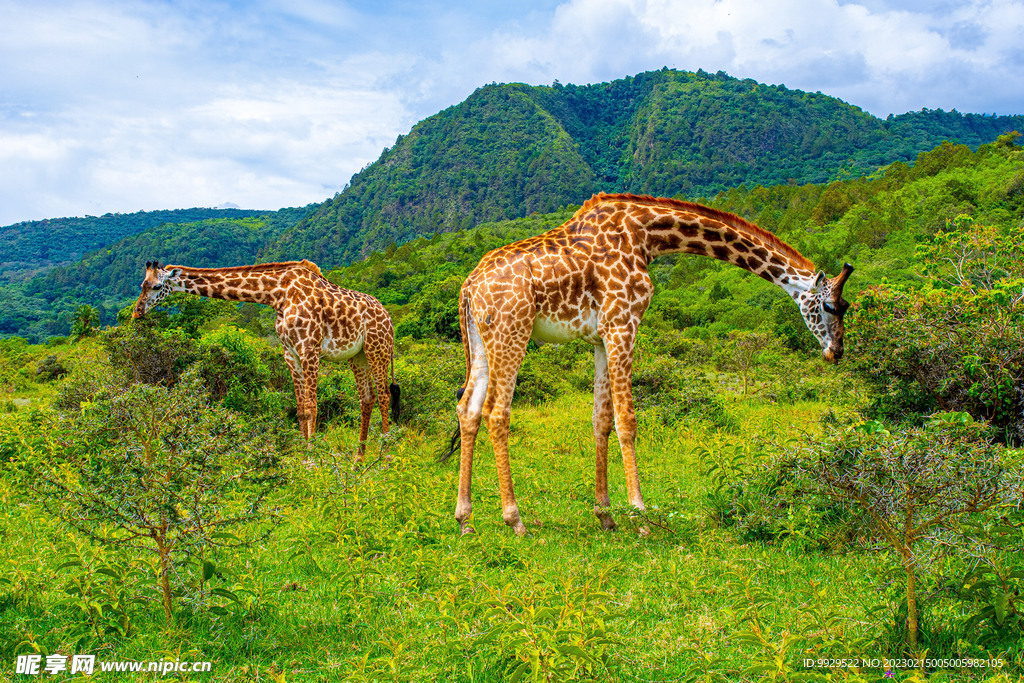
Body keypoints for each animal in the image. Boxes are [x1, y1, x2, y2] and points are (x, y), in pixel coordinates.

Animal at [135, 255, 403, 454]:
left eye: (157, 286)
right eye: (142, 286)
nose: (137, 312)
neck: (277, 294)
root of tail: (390, 319)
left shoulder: (309, 349)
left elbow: (313, 406)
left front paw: (313, 459)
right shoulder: (290, 354)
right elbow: (301, 408)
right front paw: (302, 457)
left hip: (377, 349)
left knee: (383, 396)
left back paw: (385, 455)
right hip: (357, 356)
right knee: (367, 399)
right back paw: (359, 460)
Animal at [448, 191, 856, 532]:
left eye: (845, 306)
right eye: (830, 306)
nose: (835, 350)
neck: (647, 235)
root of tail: (468, 286)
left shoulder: (601, 336)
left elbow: (601, 420)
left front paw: (606, 515)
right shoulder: (623, 323)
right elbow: (627, 421)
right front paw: (640, 514)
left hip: (482, 341)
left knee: (468, 409)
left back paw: (465, 518)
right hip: (512, 331)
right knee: (497, 412)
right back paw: (515, 520)